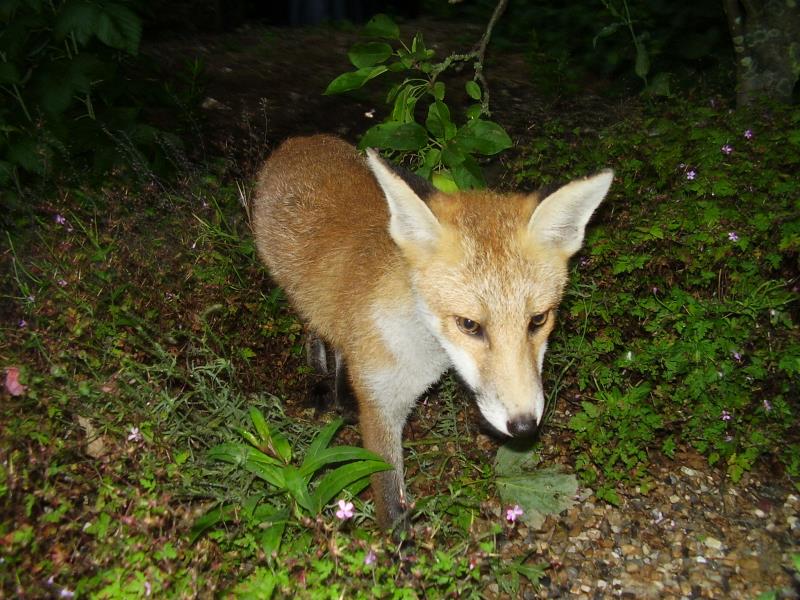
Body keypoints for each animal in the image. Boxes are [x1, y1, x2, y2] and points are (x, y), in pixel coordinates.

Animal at [252, 136, 612, 528]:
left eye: (538, 320)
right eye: (469, 325)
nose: (524, 427)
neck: (421, 353)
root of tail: (302, 140)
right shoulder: (380, 408)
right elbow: (391, 501)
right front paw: (397, 543)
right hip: (292, 290)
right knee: (314, 327)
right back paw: (321, 378)